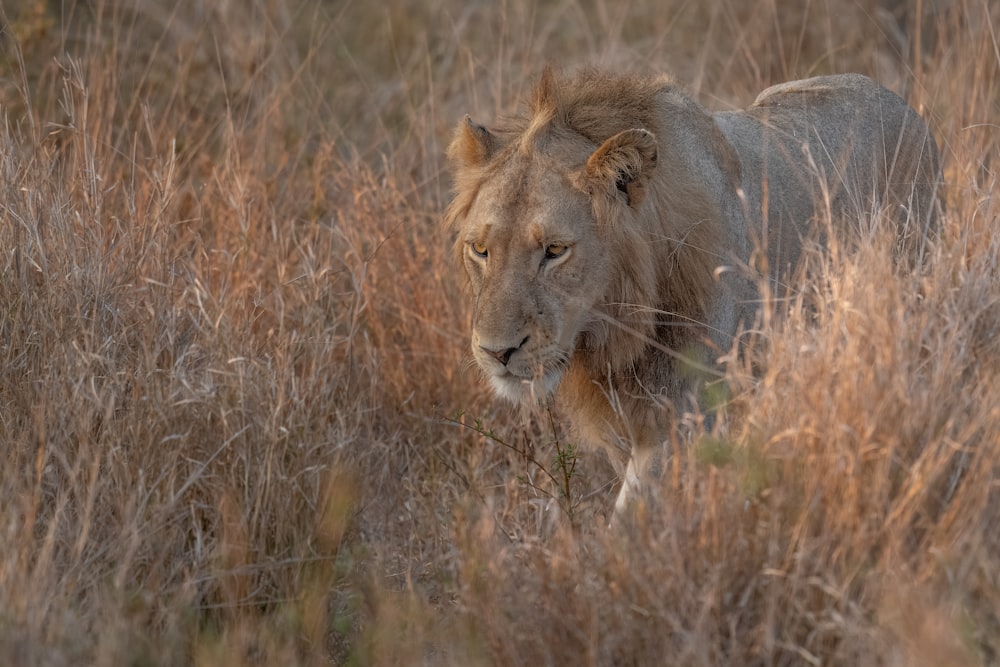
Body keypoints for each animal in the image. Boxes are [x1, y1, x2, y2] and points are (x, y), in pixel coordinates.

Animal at [450, 65, 940, 520]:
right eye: (480, 250)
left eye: (554, 250)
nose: (496, 352)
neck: (620, 324)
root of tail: (908, 108)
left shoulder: (680, 410)